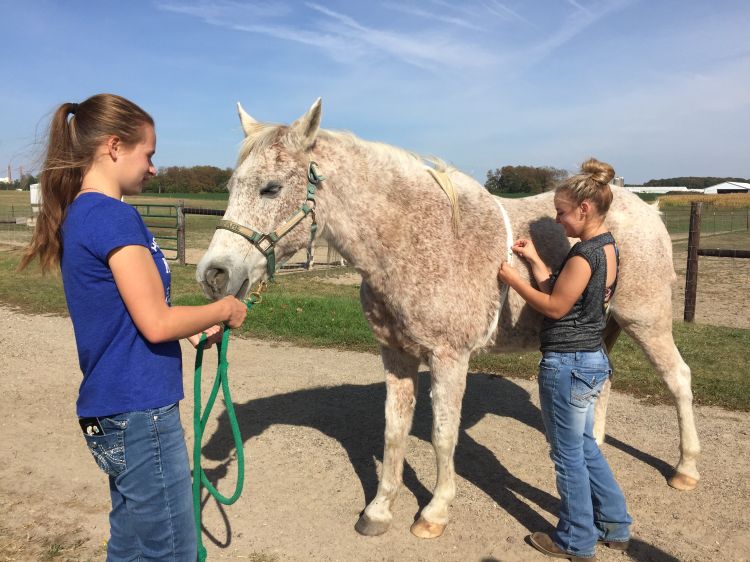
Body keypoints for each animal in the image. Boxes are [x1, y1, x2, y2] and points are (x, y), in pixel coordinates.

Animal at [196, 98, 700, 539]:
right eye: (231, 188)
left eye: (271, 188)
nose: (214, 274)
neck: (415, 240)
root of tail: (649, 211)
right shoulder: (396, 355)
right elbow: (394, 432)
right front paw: (379, 511)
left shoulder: (449, 358)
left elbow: (442, 436)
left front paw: (434, 512)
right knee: (603, 386)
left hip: (646, 321)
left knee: (678, 378)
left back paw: (686, 468)